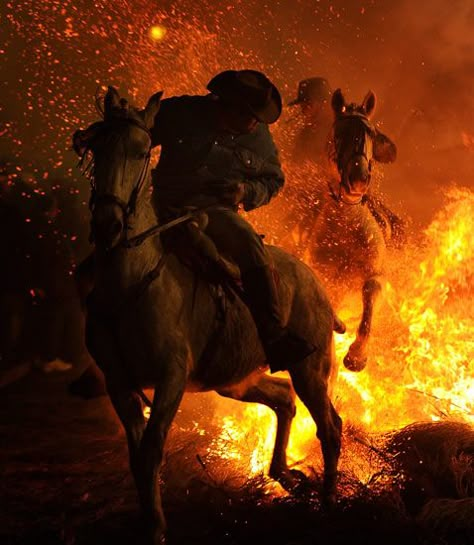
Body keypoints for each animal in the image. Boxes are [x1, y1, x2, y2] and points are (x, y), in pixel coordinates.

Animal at [72, 87, 342, 540]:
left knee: (330, 427)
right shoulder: (118, 382)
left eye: (142, 150)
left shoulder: (171, 377)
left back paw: (327, 504)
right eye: (97, 146)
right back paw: (282, 473)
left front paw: (157, 529)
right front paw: (150, 523)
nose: (109, 225)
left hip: (311, 369)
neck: (135, 280)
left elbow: (151, 452)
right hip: (234, 381)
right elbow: (137, 457)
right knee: (284, 400)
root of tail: (316, 283)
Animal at [310, 88, 398, 370]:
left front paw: (357, 355)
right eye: (339, 132)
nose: (358, 179)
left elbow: (370, 291)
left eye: (370, 133)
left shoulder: (377, 276)